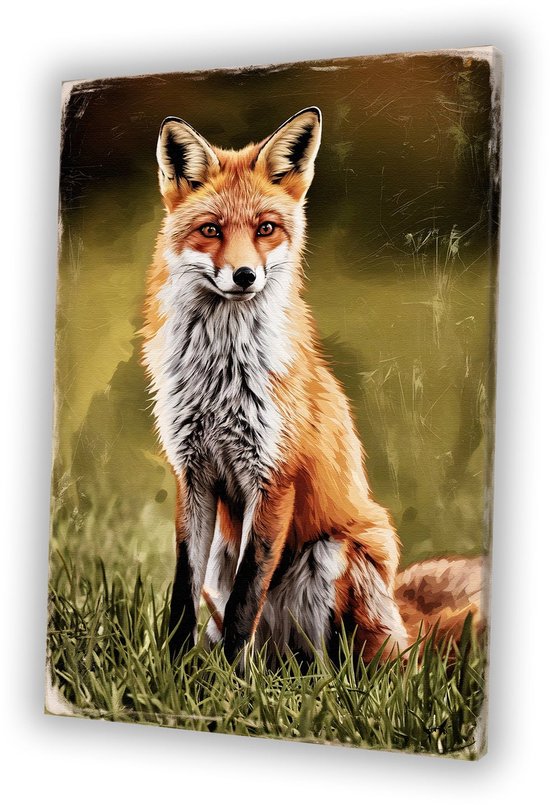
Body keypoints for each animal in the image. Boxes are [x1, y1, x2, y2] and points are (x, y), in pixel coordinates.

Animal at [141, 107, 484, 665]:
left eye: (266, 228)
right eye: (211, 229)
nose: (244, 275)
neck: (221, 373)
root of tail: (404, 629)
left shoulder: (273, 477)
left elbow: (246, 598)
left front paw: (228, 680)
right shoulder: (192, 474)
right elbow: (182, 591)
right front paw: (174, 671)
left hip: (333, 556)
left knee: (329, 668)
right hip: (224, 556)